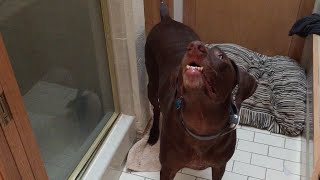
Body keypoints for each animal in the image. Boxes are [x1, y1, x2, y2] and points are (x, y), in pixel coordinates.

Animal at [146, 1, 258, 180]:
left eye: (221, 56)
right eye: (188, 49)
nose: (195, 46)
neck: (201, 122)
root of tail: (167, 19)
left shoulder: (219, 166)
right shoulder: (168, 169)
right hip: (152, 84)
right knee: (156, 109)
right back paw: (153, 134)